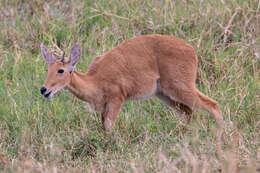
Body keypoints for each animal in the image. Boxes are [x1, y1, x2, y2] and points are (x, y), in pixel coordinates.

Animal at [39, 34, 222, 156]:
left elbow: (109, 127)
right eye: (48, 69)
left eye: (61, 70)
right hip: (165, 95)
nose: (44, 89)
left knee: (213, 105)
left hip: (181, 88)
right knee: (189, 113)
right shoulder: (104, 108)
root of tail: (191, 50)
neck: (95, 80)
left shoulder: (116, 100)